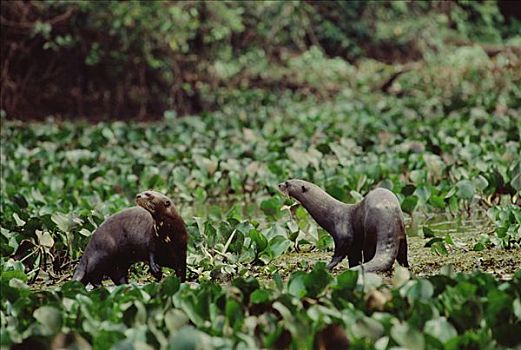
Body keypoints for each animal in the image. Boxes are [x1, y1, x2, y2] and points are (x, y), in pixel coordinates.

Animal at [278, 179, 408, 272]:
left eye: (288, 183)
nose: (279, 184)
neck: (331, 212)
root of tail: (387, 219)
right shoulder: (355, 245)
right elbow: (353, 257)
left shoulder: (342, 232)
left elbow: (340, 251)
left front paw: (328, 266)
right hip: (401, 231)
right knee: (403, 253)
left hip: (370, 231)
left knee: (369, 252)